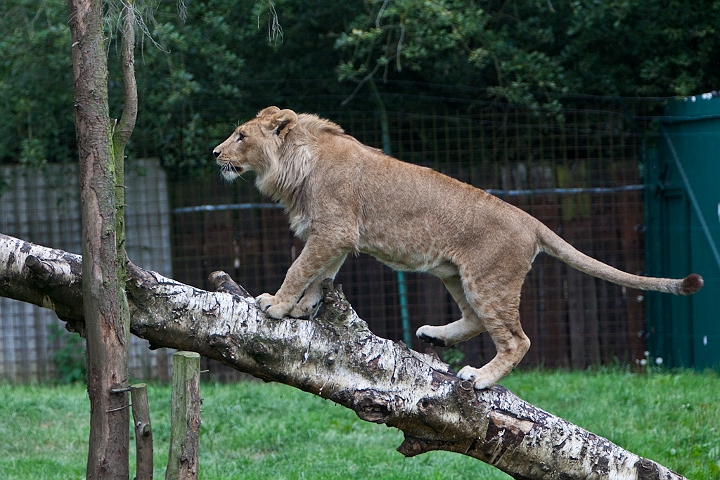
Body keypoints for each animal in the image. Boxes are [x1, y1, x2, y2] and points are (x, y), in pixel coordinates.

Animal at [213, 106, 703, 389]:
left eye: (241, 136)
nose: (215, 153)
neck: (295, 164)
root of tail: (532, 221)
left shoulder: (333, 230)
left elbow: (300, 268)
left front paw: (275, 306)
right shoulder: (335, 236)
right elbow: (321, 276)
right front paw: (302, 309)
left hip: (489, 280)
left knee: (516, 339)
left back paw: (479, 377)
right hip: (453, 273)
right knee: (474, 319)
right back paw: (434, 336)